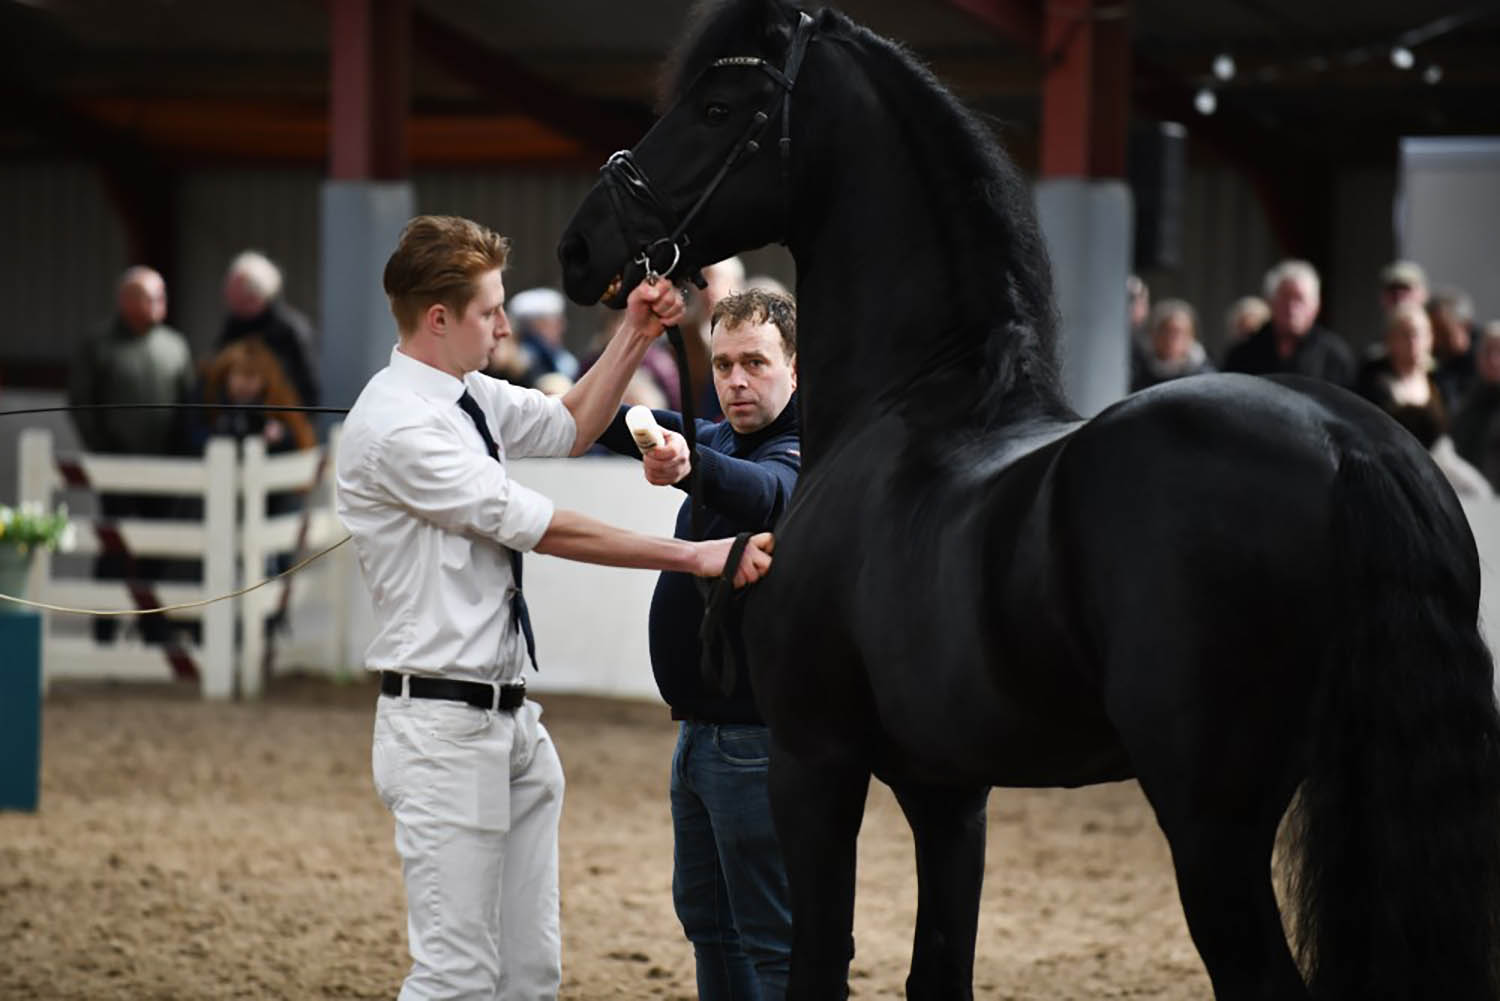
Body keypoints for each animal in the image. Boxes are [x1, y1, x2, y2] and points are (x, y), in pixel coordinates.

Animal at [558, 3, 1500, 996]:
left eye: (716, 106)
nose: (581, 244)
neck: (909, 408)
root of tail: (1347, 444)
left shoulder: (814, 761)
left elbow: (816, 963)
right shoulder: (947, 790)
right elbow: (939, 967)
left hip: (1213, 825)